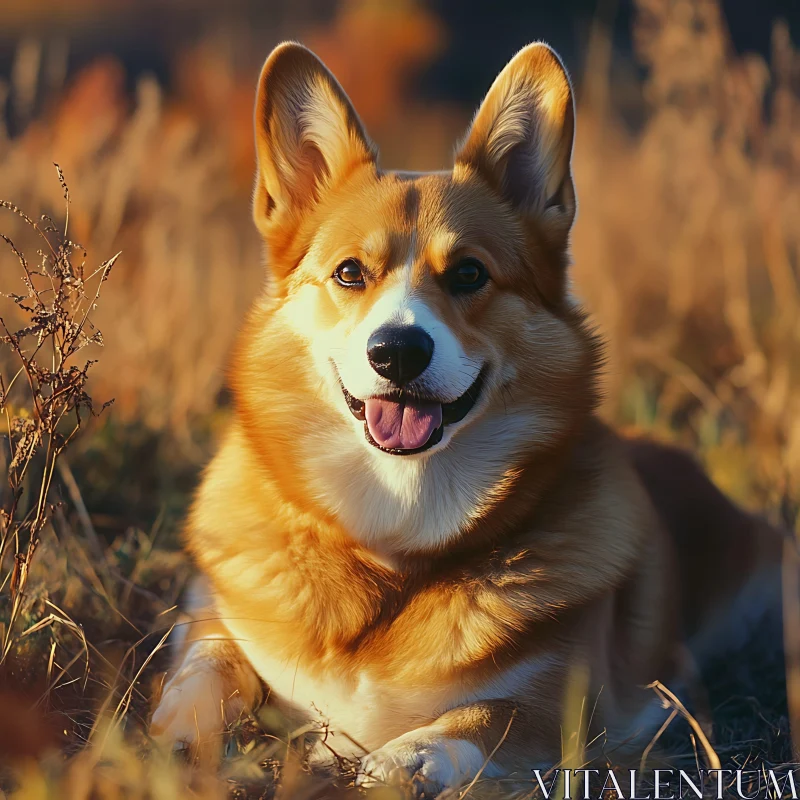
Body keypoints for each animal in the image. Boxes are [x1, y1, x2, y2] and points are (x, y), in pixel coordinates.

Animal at [150, 40, 788, 792]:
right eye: (349, 273)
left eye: (469, 275)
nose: (397, 350)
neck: (397, 529)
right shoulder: (212, 613)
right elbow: (209, 664)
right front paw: (180, 735)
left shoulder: (602, 703)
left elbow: (490, 715)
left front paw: (401, 757)